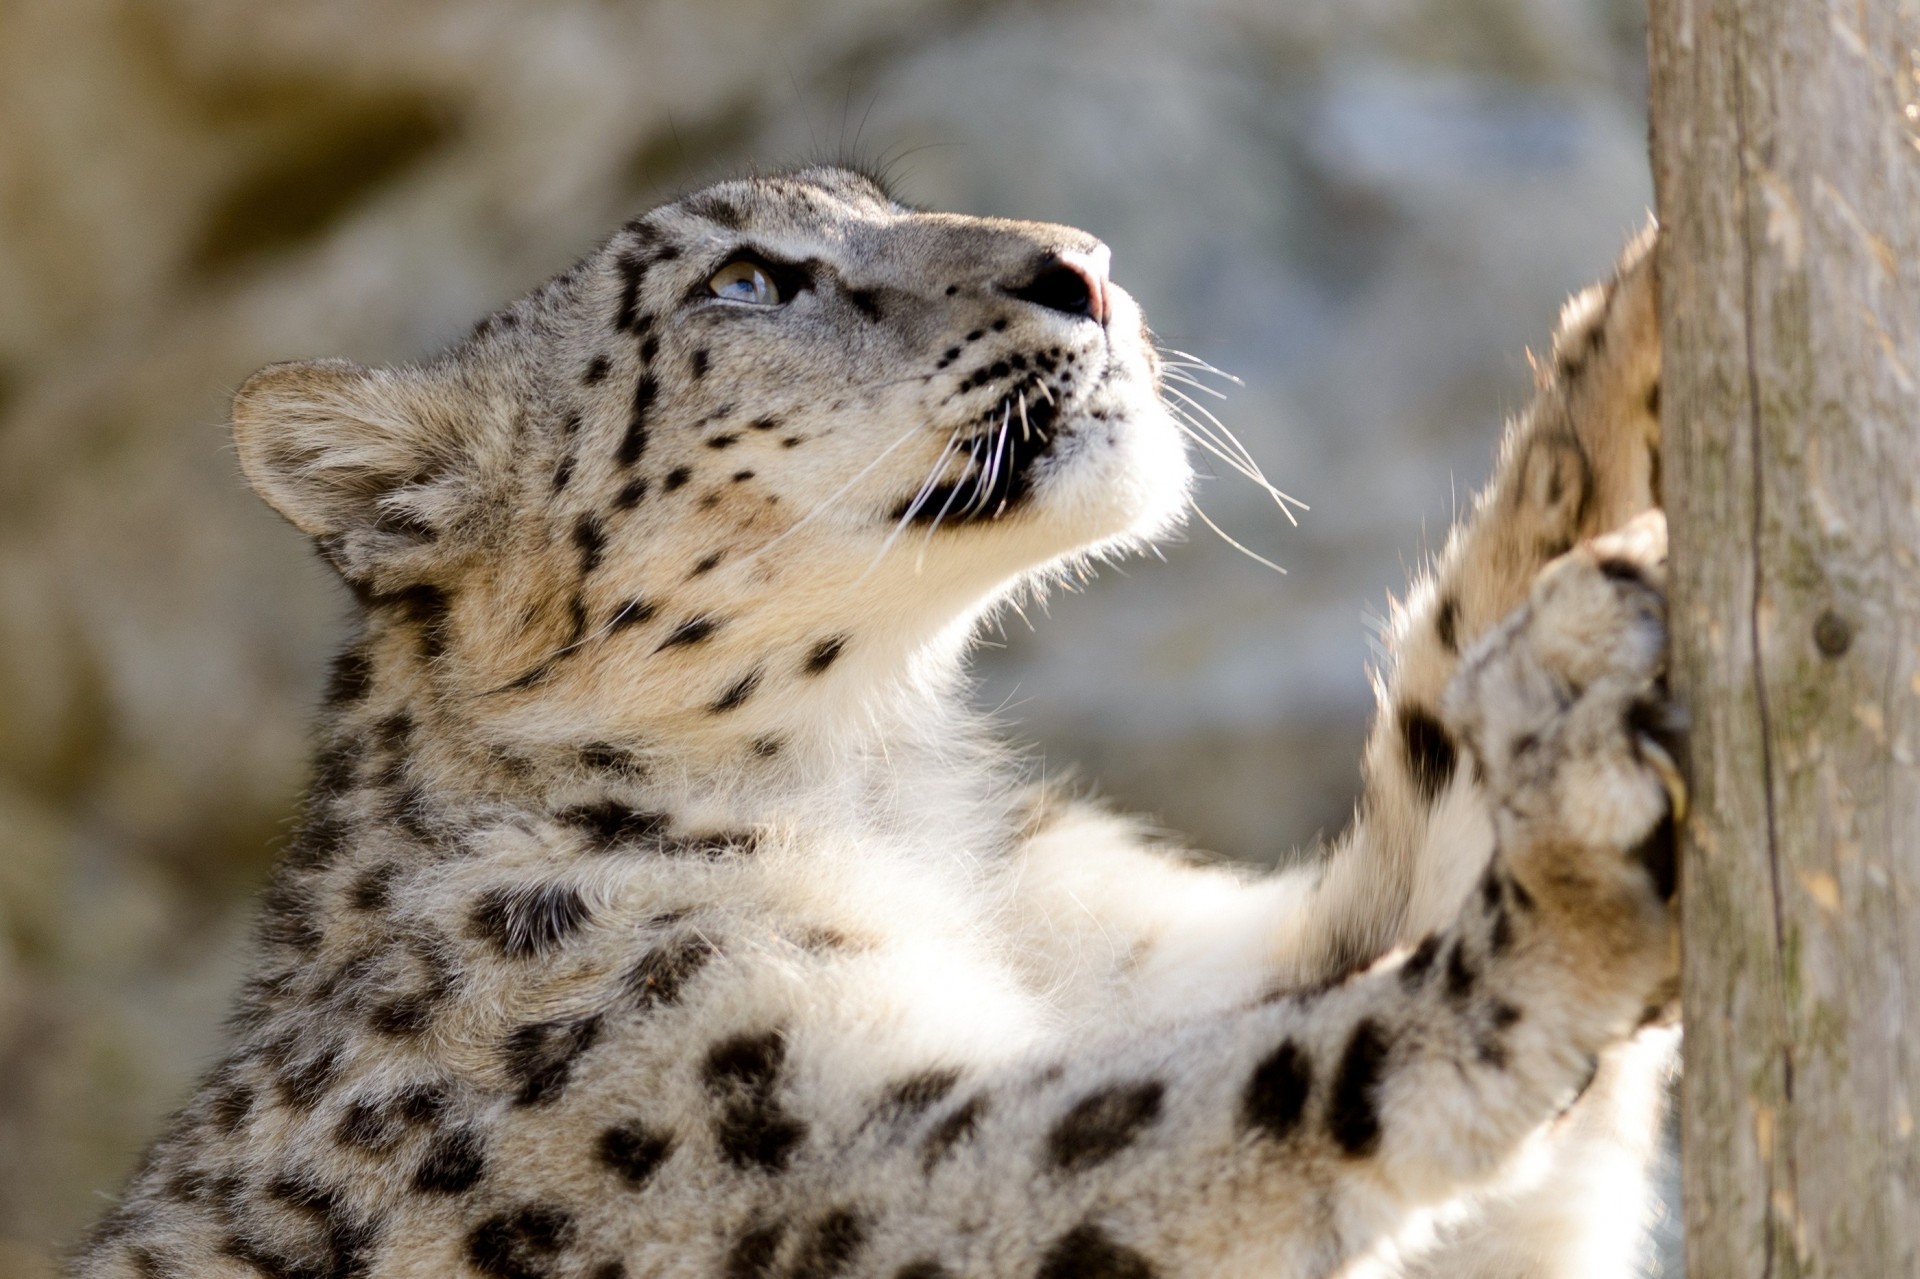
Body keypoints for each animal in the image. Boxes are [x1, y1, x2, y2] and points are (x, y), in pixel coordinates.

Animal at [70, 164, 1683, 1279]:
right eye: (745, 280)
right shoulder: (813, 1159)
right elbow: (1243, 1092)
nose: (1085, 268)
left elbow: (1412, 814)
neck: (888, 781)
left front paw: (1626, 356)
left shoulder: (1166, 963)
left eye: (878, 199)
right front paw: (1569, 875)